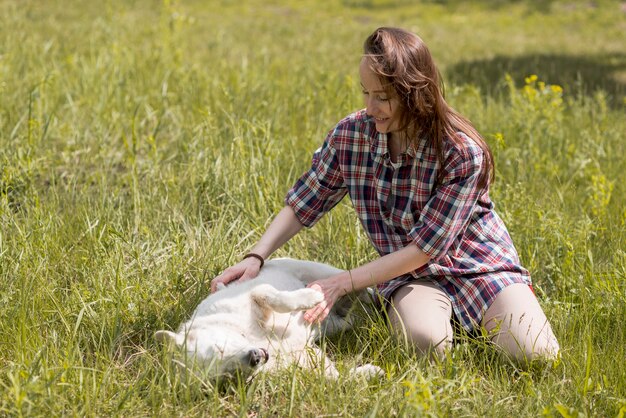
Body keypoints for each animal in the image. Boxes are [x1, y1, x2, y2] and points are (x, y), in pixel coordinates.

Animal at [156, 258, 380, 378]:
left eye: (220, 348)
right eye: (229, 374)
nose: (254, 358)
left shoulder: (255, 295)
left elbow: (270, 296)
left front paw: (311, 297)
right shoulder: (305, 358)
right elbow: (337, 378)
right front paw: (368, 373)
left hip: (316, 269)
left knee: (351, 281)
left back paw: (372, 296)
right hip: (333, 325)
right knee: (350, 319)